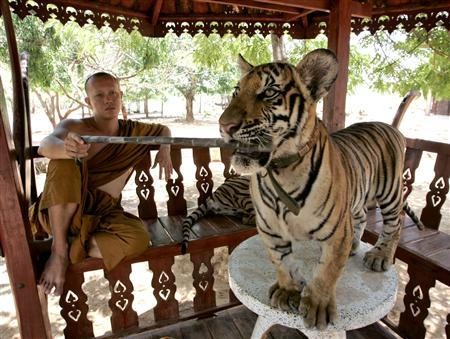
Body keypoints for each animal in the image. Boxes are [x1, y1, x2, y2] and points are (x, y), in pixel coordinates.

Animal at [220, 49, 420, 330]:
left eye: (268, 92)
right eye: (236, 92)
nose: (224, 126)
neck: (281, 169)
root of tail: (388, 125)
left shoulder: (337, 232)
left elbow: (327, 272)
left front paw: (317, 307)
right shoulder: (270, 229)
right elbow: (281, 262)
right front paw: (288, 291)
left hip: (390, 193)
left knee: (395, 224)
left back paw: (379, 256)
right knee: (360, 216)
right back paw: (355, 246)